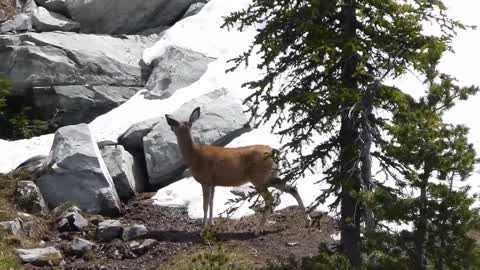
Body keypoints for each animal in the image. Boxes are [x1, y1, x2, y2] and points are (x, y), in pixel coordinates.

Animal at [165, 106, 314, 233]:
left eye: (174, 125)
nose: (171, 127)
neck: (194, 156)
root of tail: (275, 152)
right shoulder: (213, 182)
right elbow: (212, 202)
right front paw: (211, 224)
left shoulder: (205, 180)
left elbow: (205, 204)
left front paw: (204, 229)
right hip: (270, 176)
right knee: (292, 189)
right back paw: (307, 221)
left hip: (258, 178)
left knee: (270, 199)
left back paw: (258, 229)